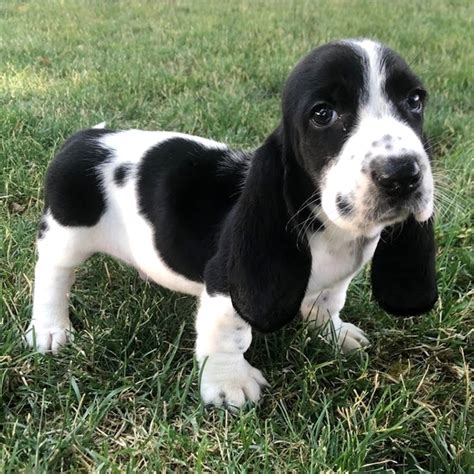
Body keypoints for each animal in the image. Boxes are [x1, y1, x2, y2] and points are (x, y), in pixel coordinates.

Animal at [27, 39, 436, 408]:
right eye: (323, 114)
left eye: (415, 101)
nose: (403, 174)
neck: (329, 228)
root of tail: (85, 138)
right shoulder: (226, 285)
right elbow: (229, 335)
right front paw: (229, 384)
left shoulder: (339, 277)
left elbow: (328, 302)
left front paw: (333, 335)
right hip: (66, 235)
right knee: (52, 276)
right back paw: (50, 330)